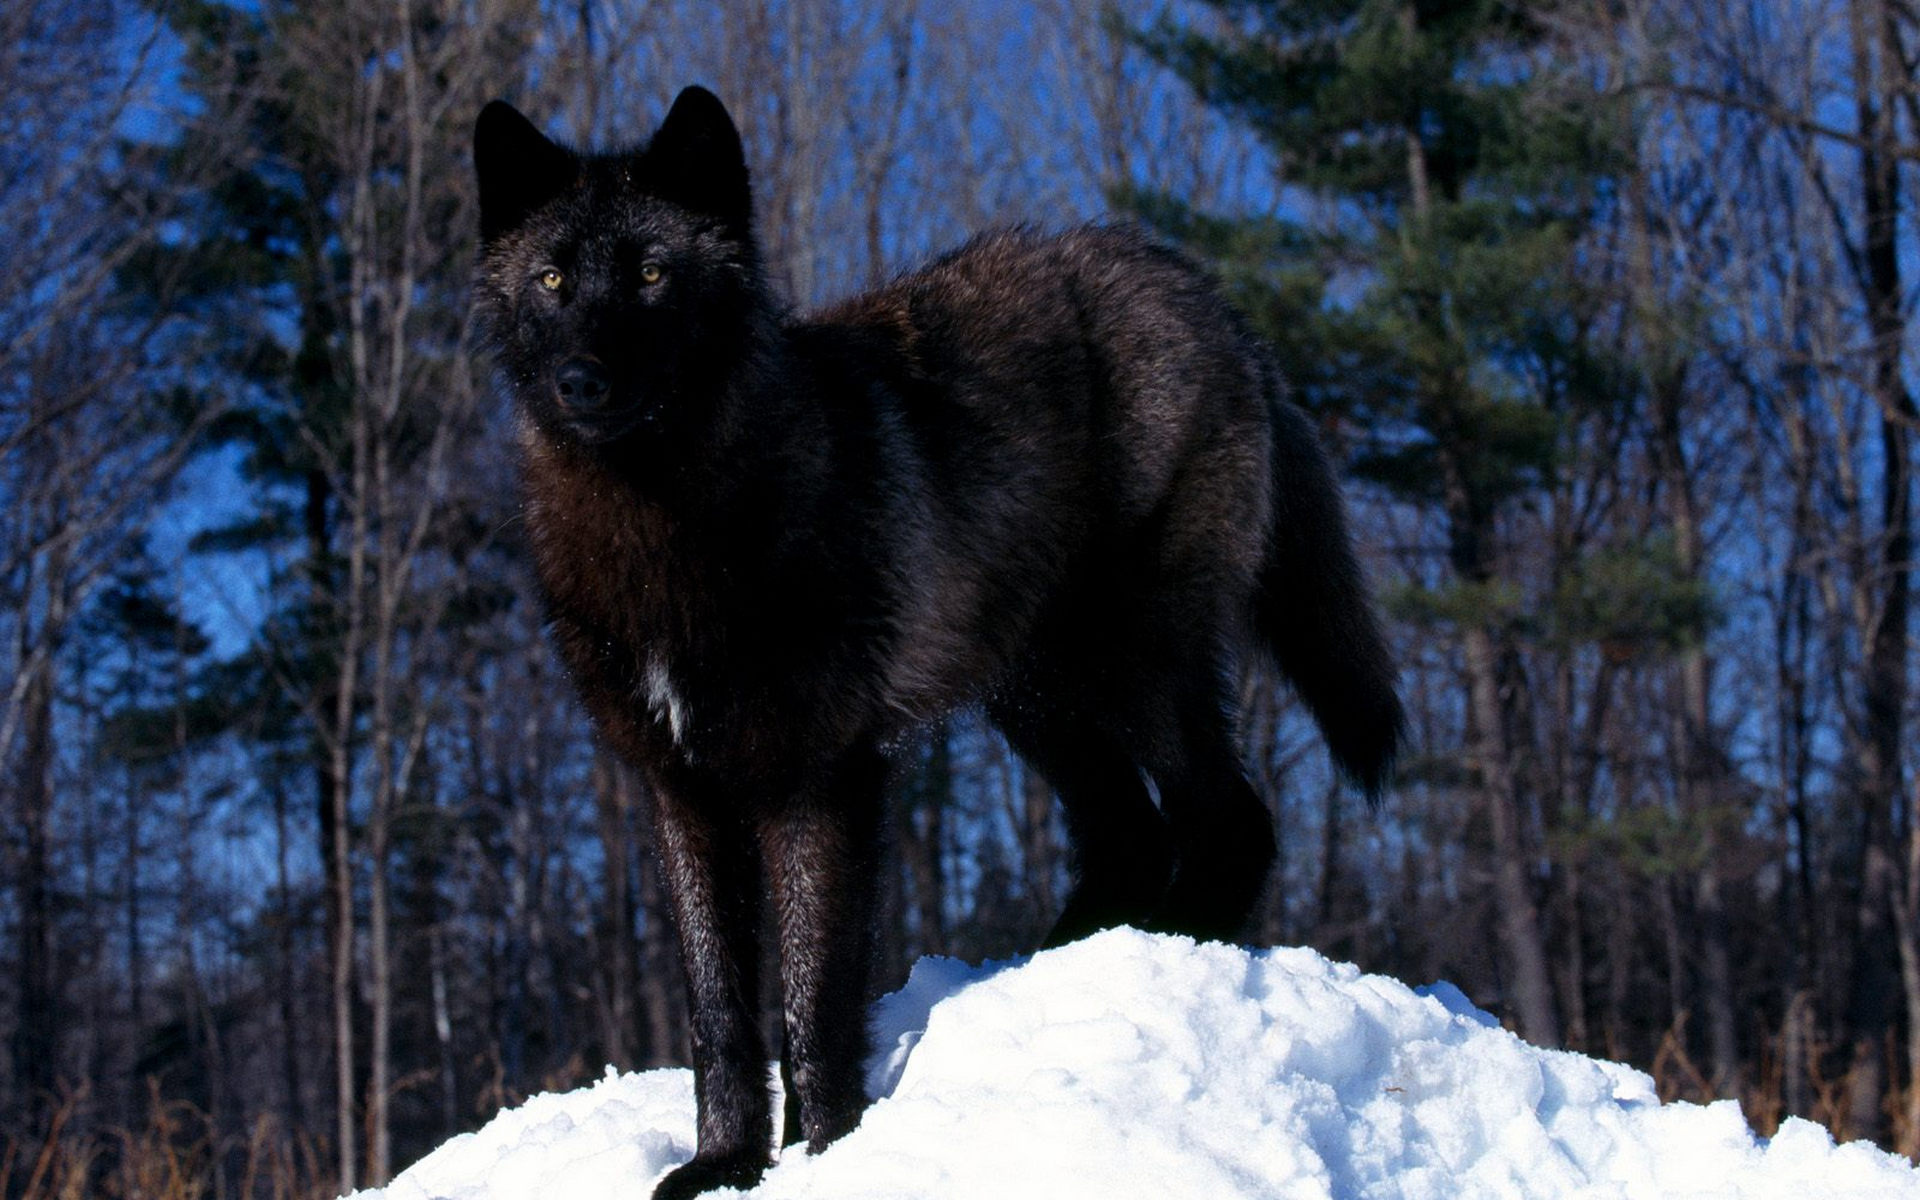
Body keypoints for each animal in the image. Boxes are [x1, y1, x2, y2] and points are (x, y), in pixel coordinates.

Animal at [472, 86, 1405, 1198]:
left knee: (1233, 821)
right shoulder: (682, 793)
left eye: (654, 274)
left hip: (1139, 665)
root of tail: (1203, 291)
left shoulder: (822, 780)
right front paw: (725, 1164)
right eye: (553, 279)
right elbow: (719, 1014)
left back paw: (1174, 952)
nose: (582, 381)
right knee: (1130, 837)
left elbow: (814, 998)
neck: (671, 526)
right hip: (1039, 696)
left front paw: (830, 1152)